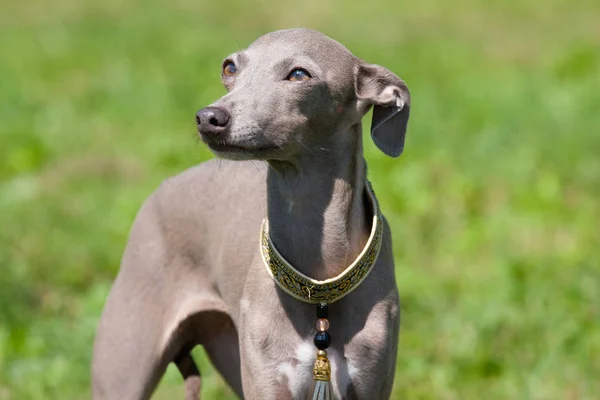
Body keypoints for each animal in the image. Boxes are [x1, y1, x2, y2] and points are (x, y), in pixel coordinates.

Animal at [91, 28, 410, 400]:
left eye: (299, 74)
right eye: (230, 67)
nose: (209, 118)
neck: (319, 287)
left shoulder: (371, 379)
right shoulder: (267, 382)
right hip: (129, 364)